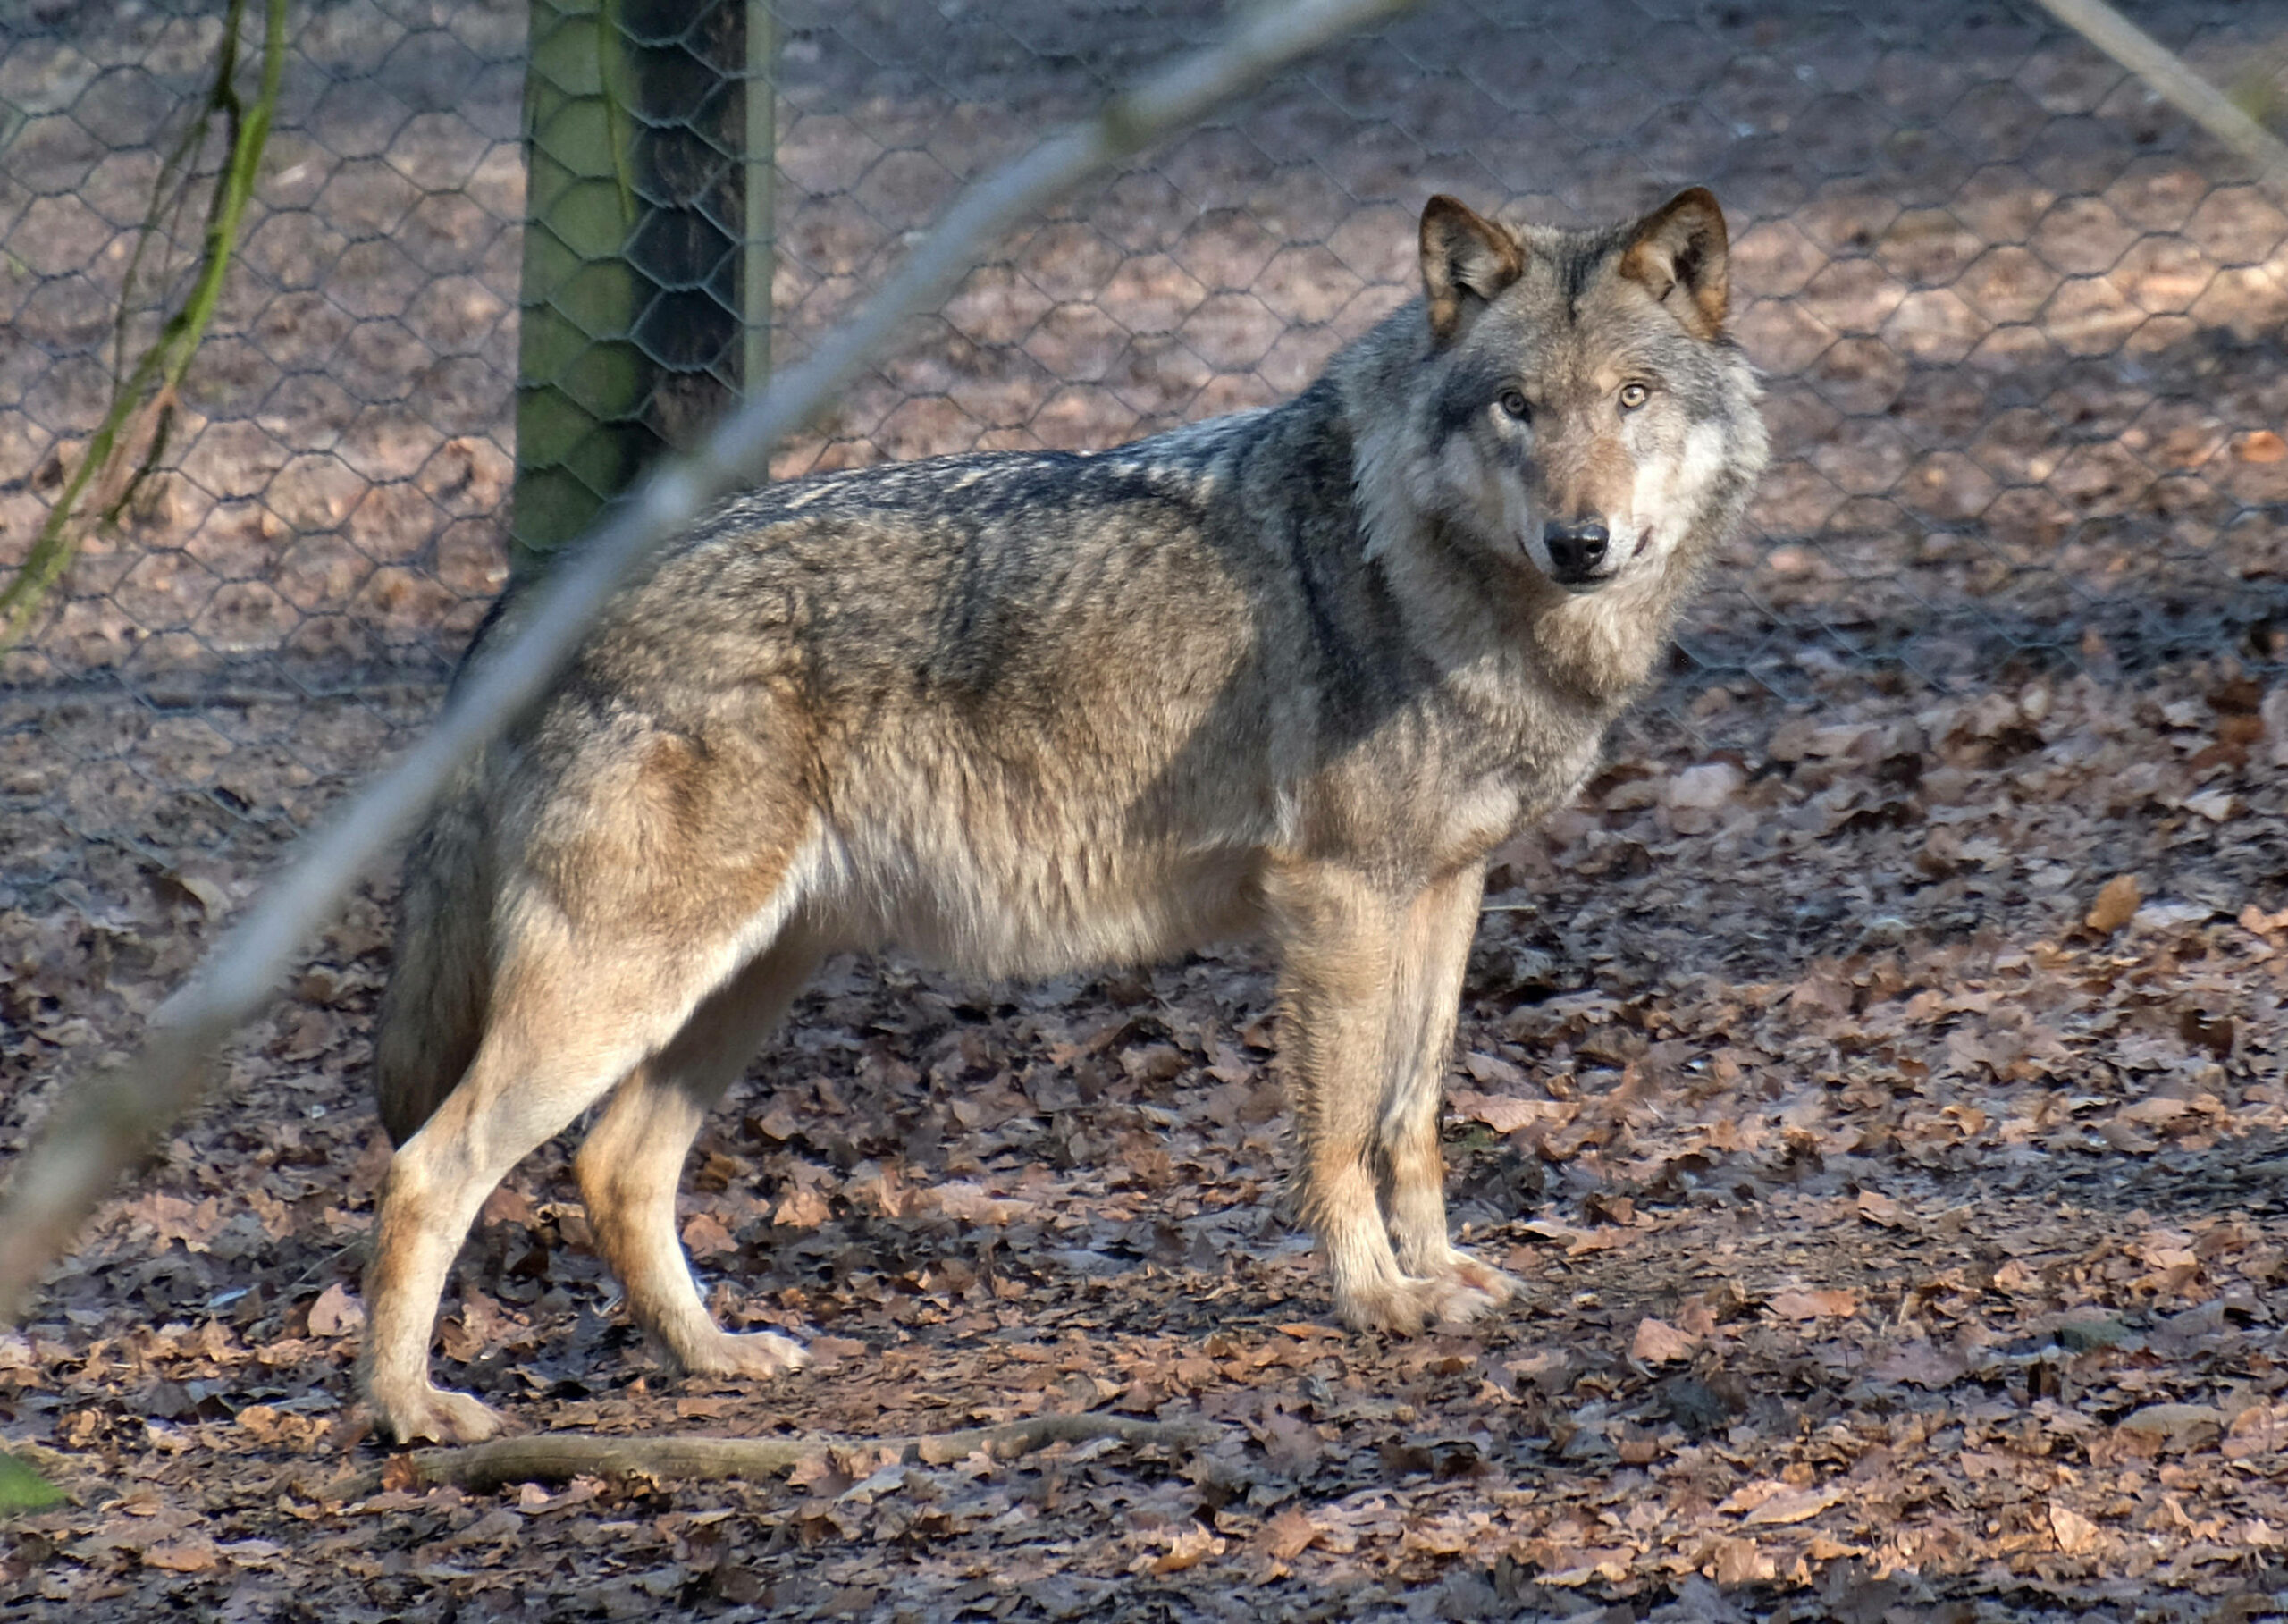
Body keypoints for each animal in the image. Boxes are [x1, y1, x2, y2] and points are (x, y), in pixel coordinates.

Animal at [360, 188, 1766, 1443]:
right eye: (1516, 405)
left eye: (1631, 398)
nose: (1581, 540)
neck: (1418, 560)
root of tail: (537, 598)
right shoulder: (1339, 899)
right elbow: (1336, 1129)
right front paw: (1377, 1299)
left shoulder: (1444, 888)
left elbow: (1409, 1113)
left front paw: (1444, 1272)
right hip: (628, 988)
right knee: (430, 1166)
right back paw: (410, 1409)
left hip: (739, 984)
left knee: (616, 1169)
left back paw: (712, 1353)